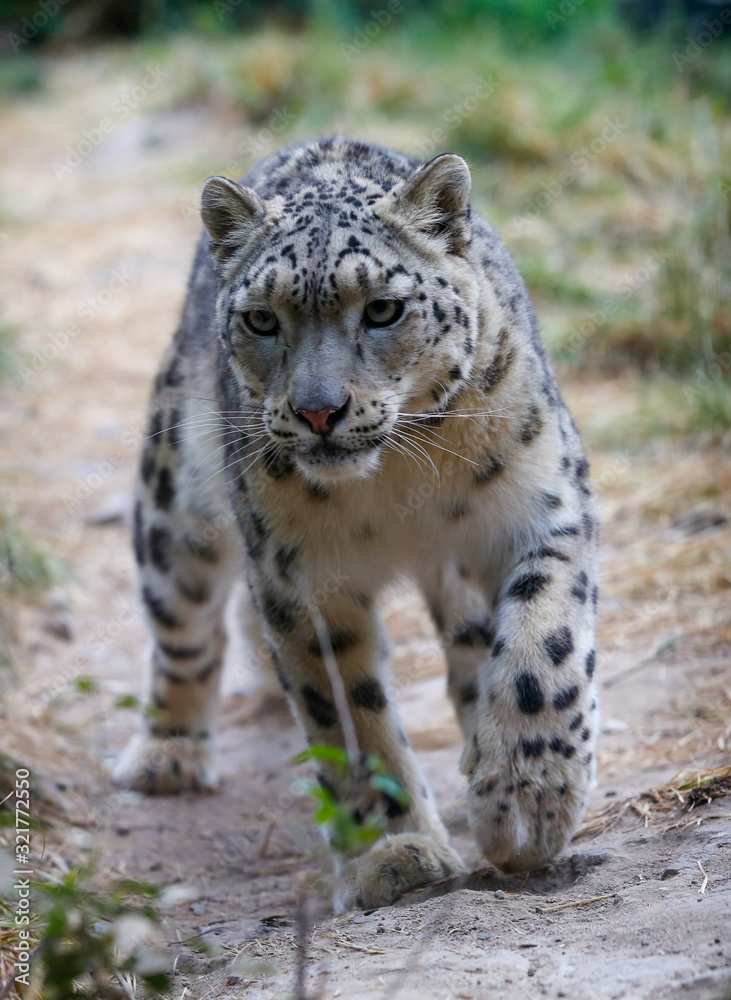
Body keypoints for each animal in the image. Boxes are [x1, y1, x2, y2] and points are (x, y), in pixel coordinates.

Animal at [113, 136, 599, 913]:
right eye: (261, 319)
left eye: (382, 309)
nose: (319, 411)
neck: (397, 481)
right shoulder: (302, 577)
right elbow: (349, 715)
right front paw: (392, 853)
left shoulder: (542, 506)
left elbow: (541, 648)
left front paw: (527, 803)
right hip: (175, 510)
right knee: (183, 630)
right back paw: (169, 751)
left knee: (476, 648)